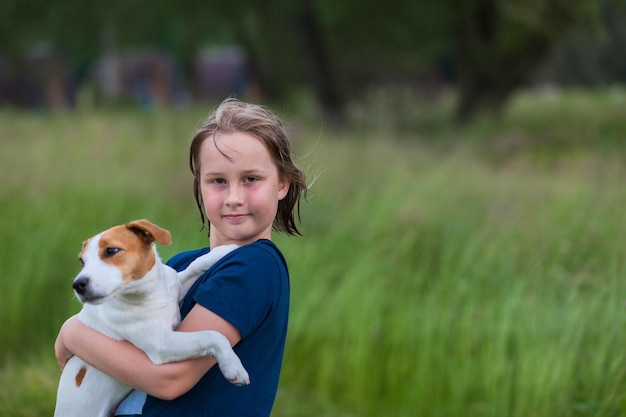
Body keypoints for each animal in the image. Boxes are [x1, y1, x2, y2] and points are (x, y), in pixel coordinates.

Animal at [53, 218, 249, 416]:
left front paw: (223, 251)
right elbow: (212, 335)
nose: (78, 285)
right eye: (82, 262)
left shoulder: (177, 289)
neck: (151, 292)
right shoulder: (161, 344)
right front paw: (233, 366)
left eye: (111, 250)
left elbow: (193, 266)